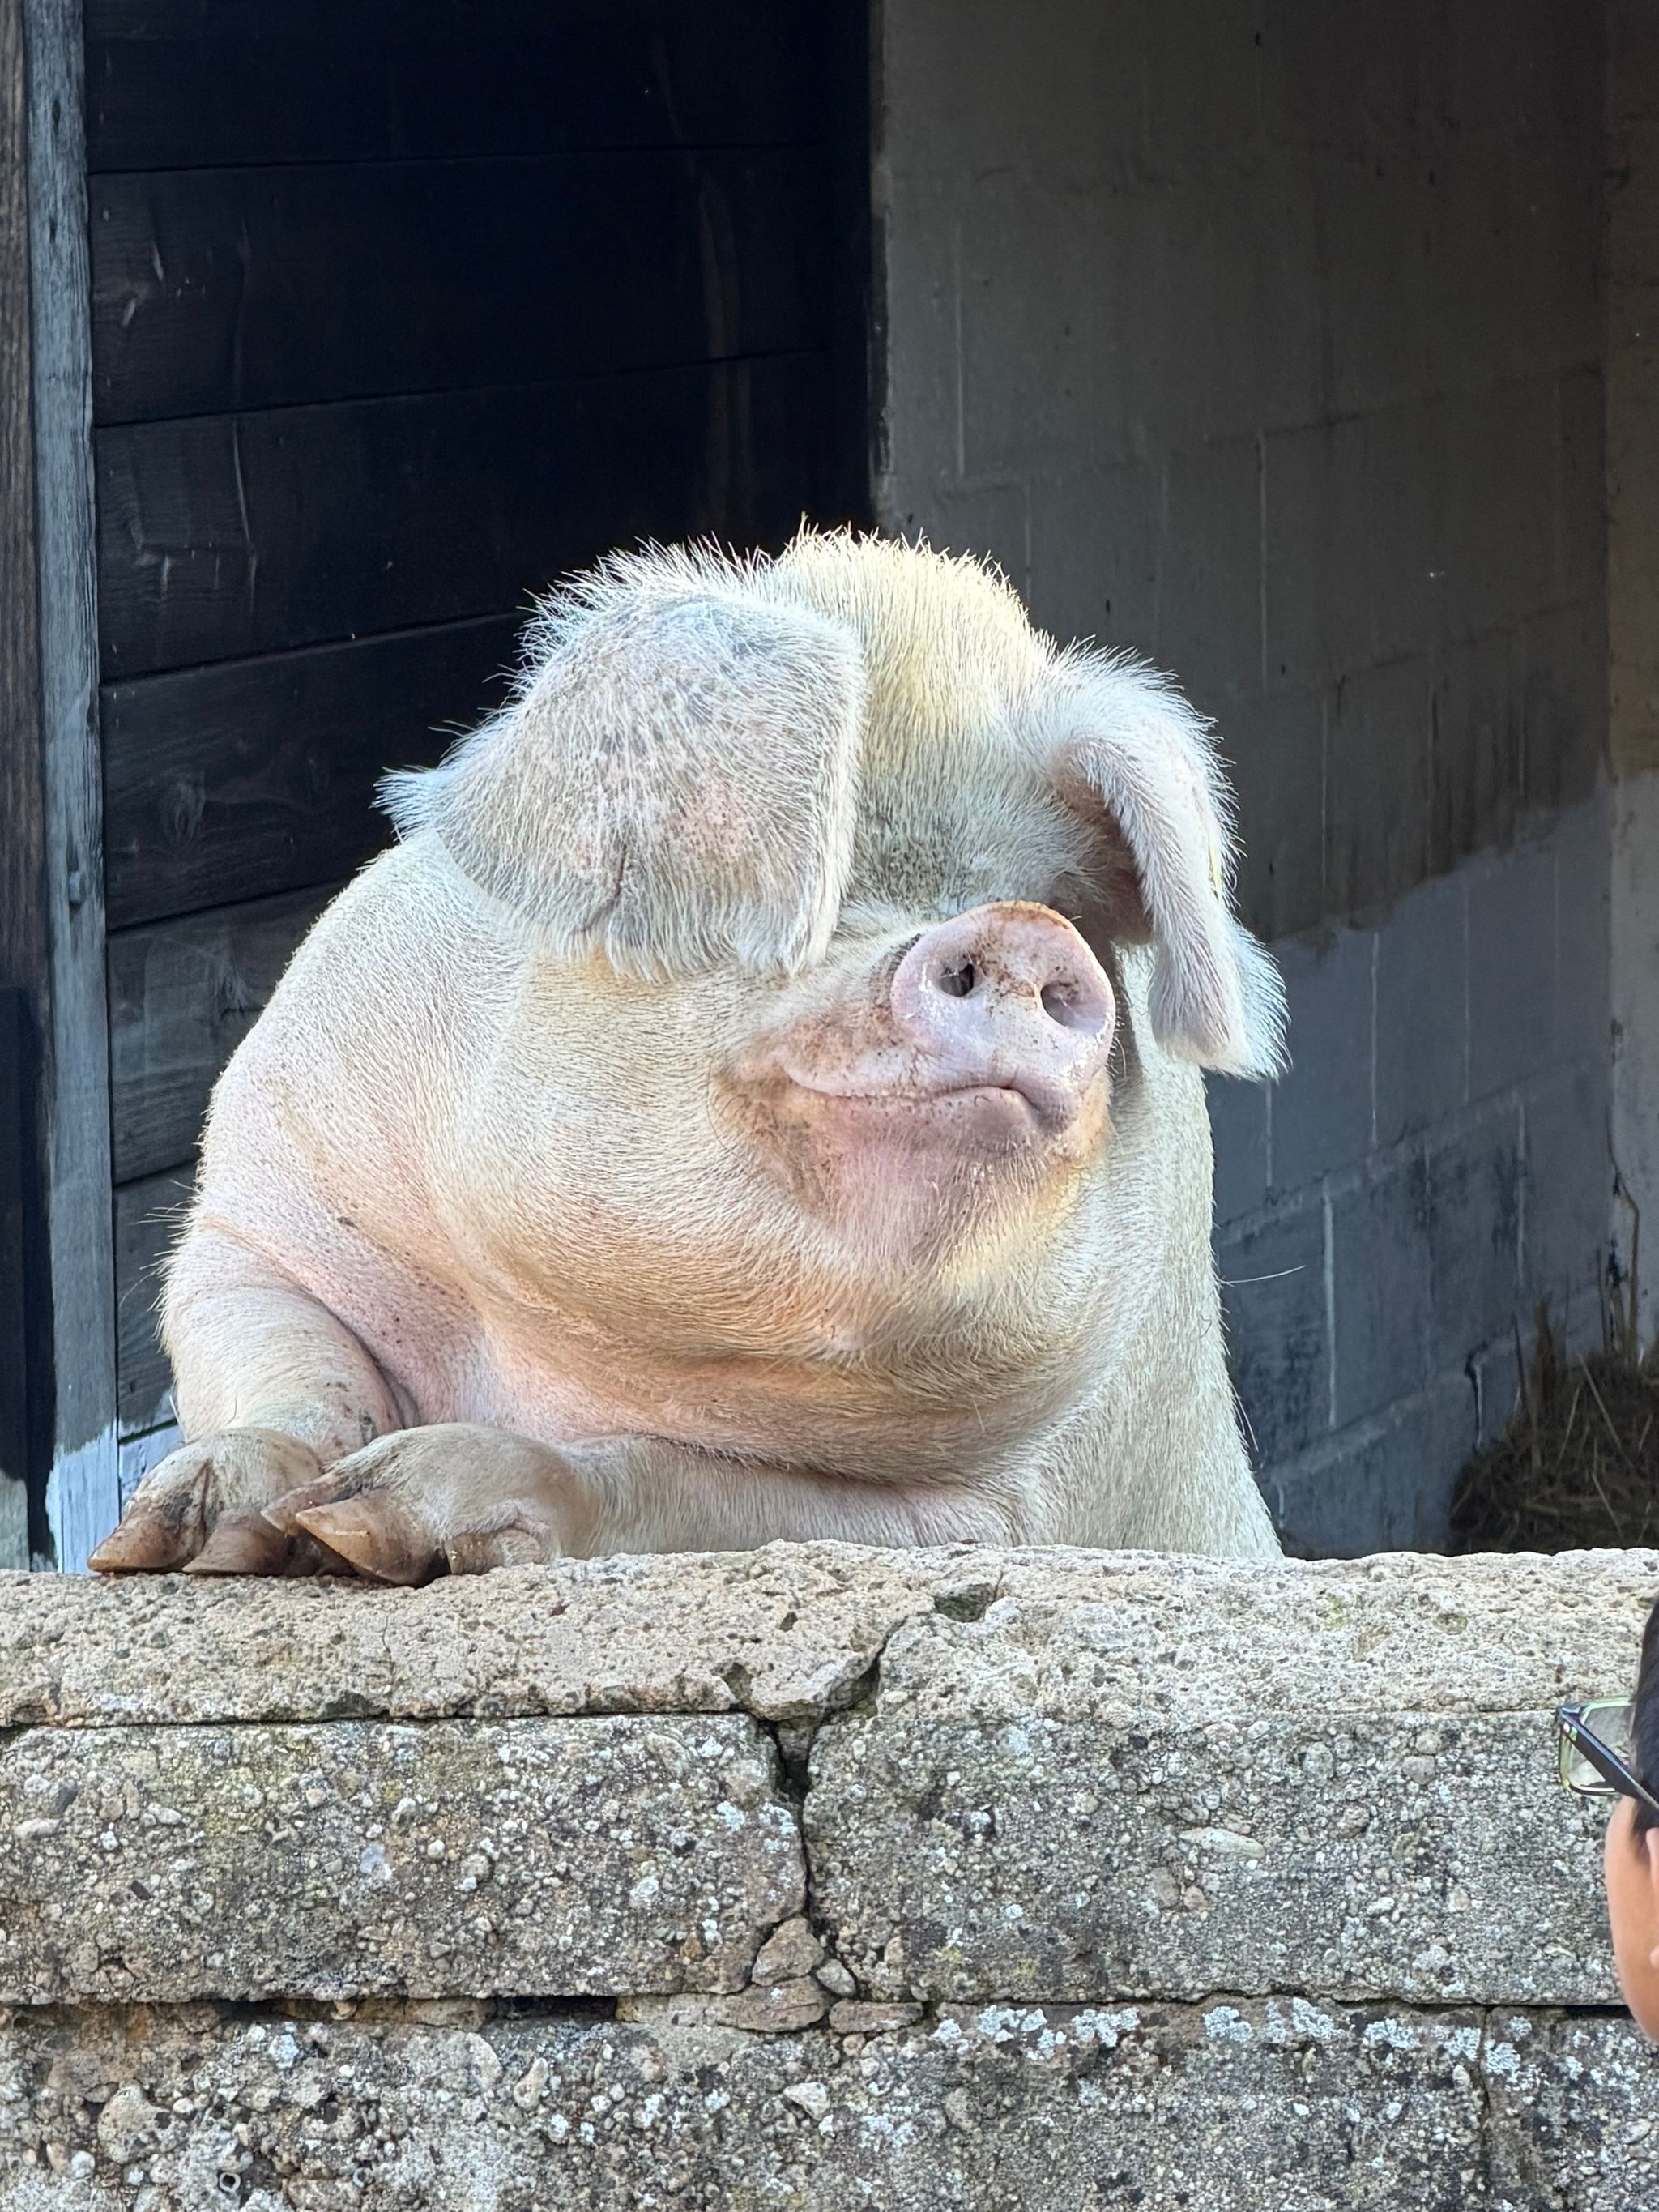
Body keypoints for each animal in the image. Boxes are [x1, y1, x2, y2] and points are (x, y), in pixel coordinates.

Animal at [91, 529, 1287, 1583]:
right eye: (810, 883)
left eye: (1061, 899)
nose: (1023, 932)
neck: (557, 1349)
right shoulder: (263, 1210)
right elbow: (293, 1367)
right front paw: (188, 1543)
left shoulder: (1011, 1505)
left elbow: (668, 1482)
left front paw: (364, 1528)